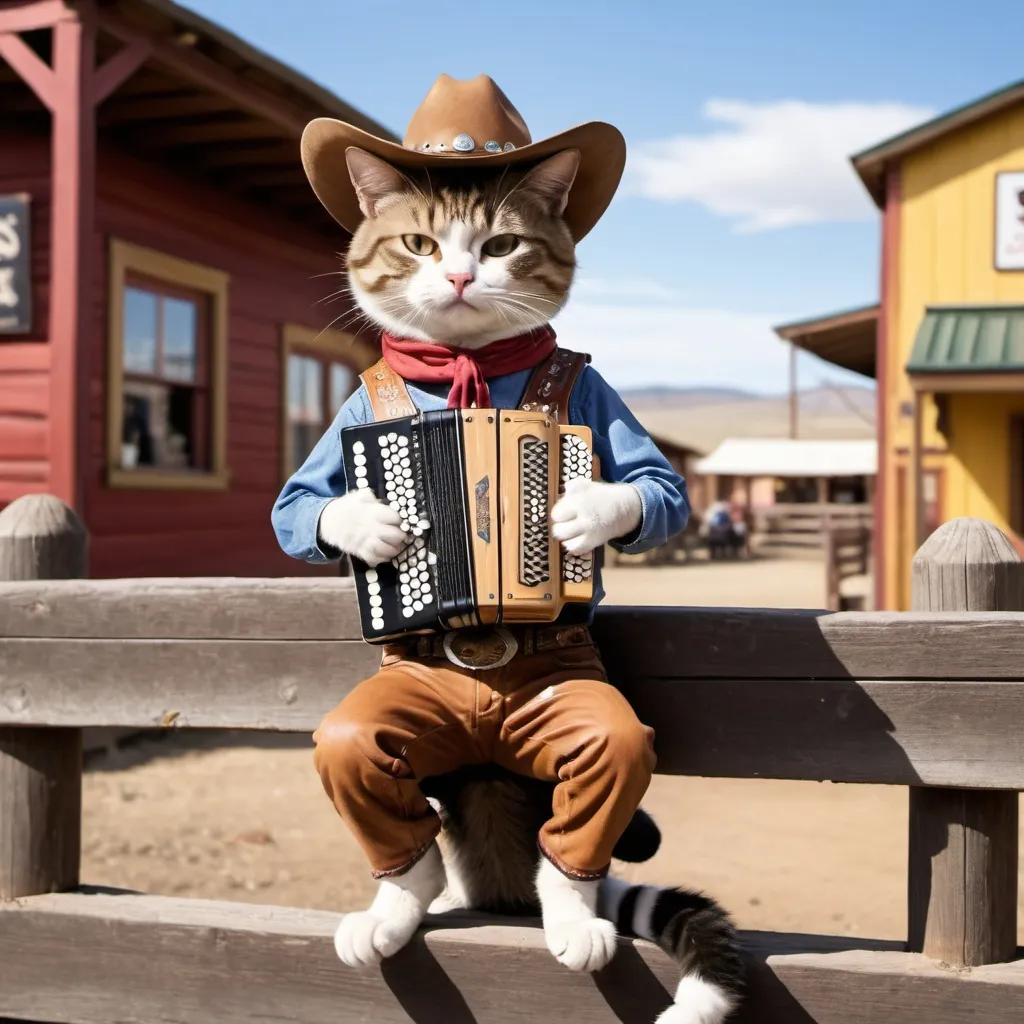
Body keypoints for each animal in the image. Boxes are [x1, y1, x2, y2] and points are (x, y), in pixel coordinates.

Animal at [323, 146, 741, 1024]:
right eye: (418, 243)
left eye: (501, 246)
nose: (456, 277)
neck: (469, 366)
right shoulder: (349, 426)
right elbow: (301, 505)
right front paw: (368, 524)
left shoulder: (599, 416)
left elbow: (655, 485)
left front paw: (585, 508)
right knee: (374, 785)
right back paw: (398, 905)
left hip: (582, 729)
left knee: (585, 820)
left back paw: (572, 916)